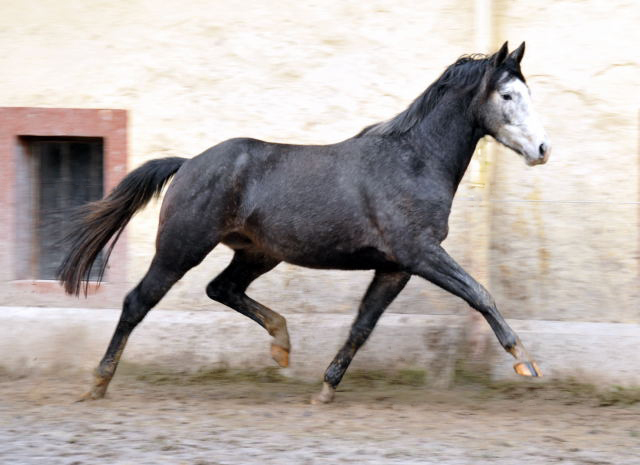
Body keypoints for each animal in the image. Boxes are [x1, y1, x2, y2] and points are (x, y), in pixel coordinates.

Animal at [58, 41, 552, 400]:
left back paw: (282, 344)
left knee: (222, 288)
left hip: (258, 254)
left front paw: (326, 389)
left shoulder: (395, 267)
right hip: (182, 247)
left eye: (529, 94)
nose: (542, 149)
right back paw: (98, 384)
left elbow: (362, 325)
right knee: (138, 301)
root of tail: (189, 163)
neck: (412, 161)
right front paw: (525, 361)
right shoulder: (421, 253)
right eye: (507, 95)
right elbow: (479, 293)